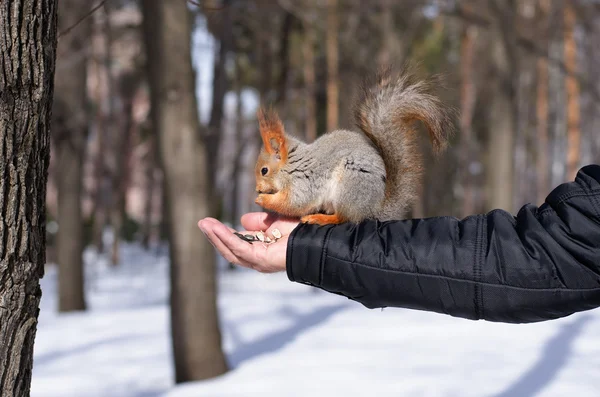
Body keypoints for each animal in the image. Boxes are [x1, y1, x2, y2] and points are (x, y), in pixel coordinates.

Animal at [253, 65, 454, 226]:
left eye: (264, 170)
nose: (257, 189)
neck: (291, 165)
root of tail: (372, 209)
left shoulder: (304, 182)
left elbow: (294, 202)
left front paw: (263, 199)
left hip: (350, 186)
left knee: (344, 217)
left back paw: (320, 218)